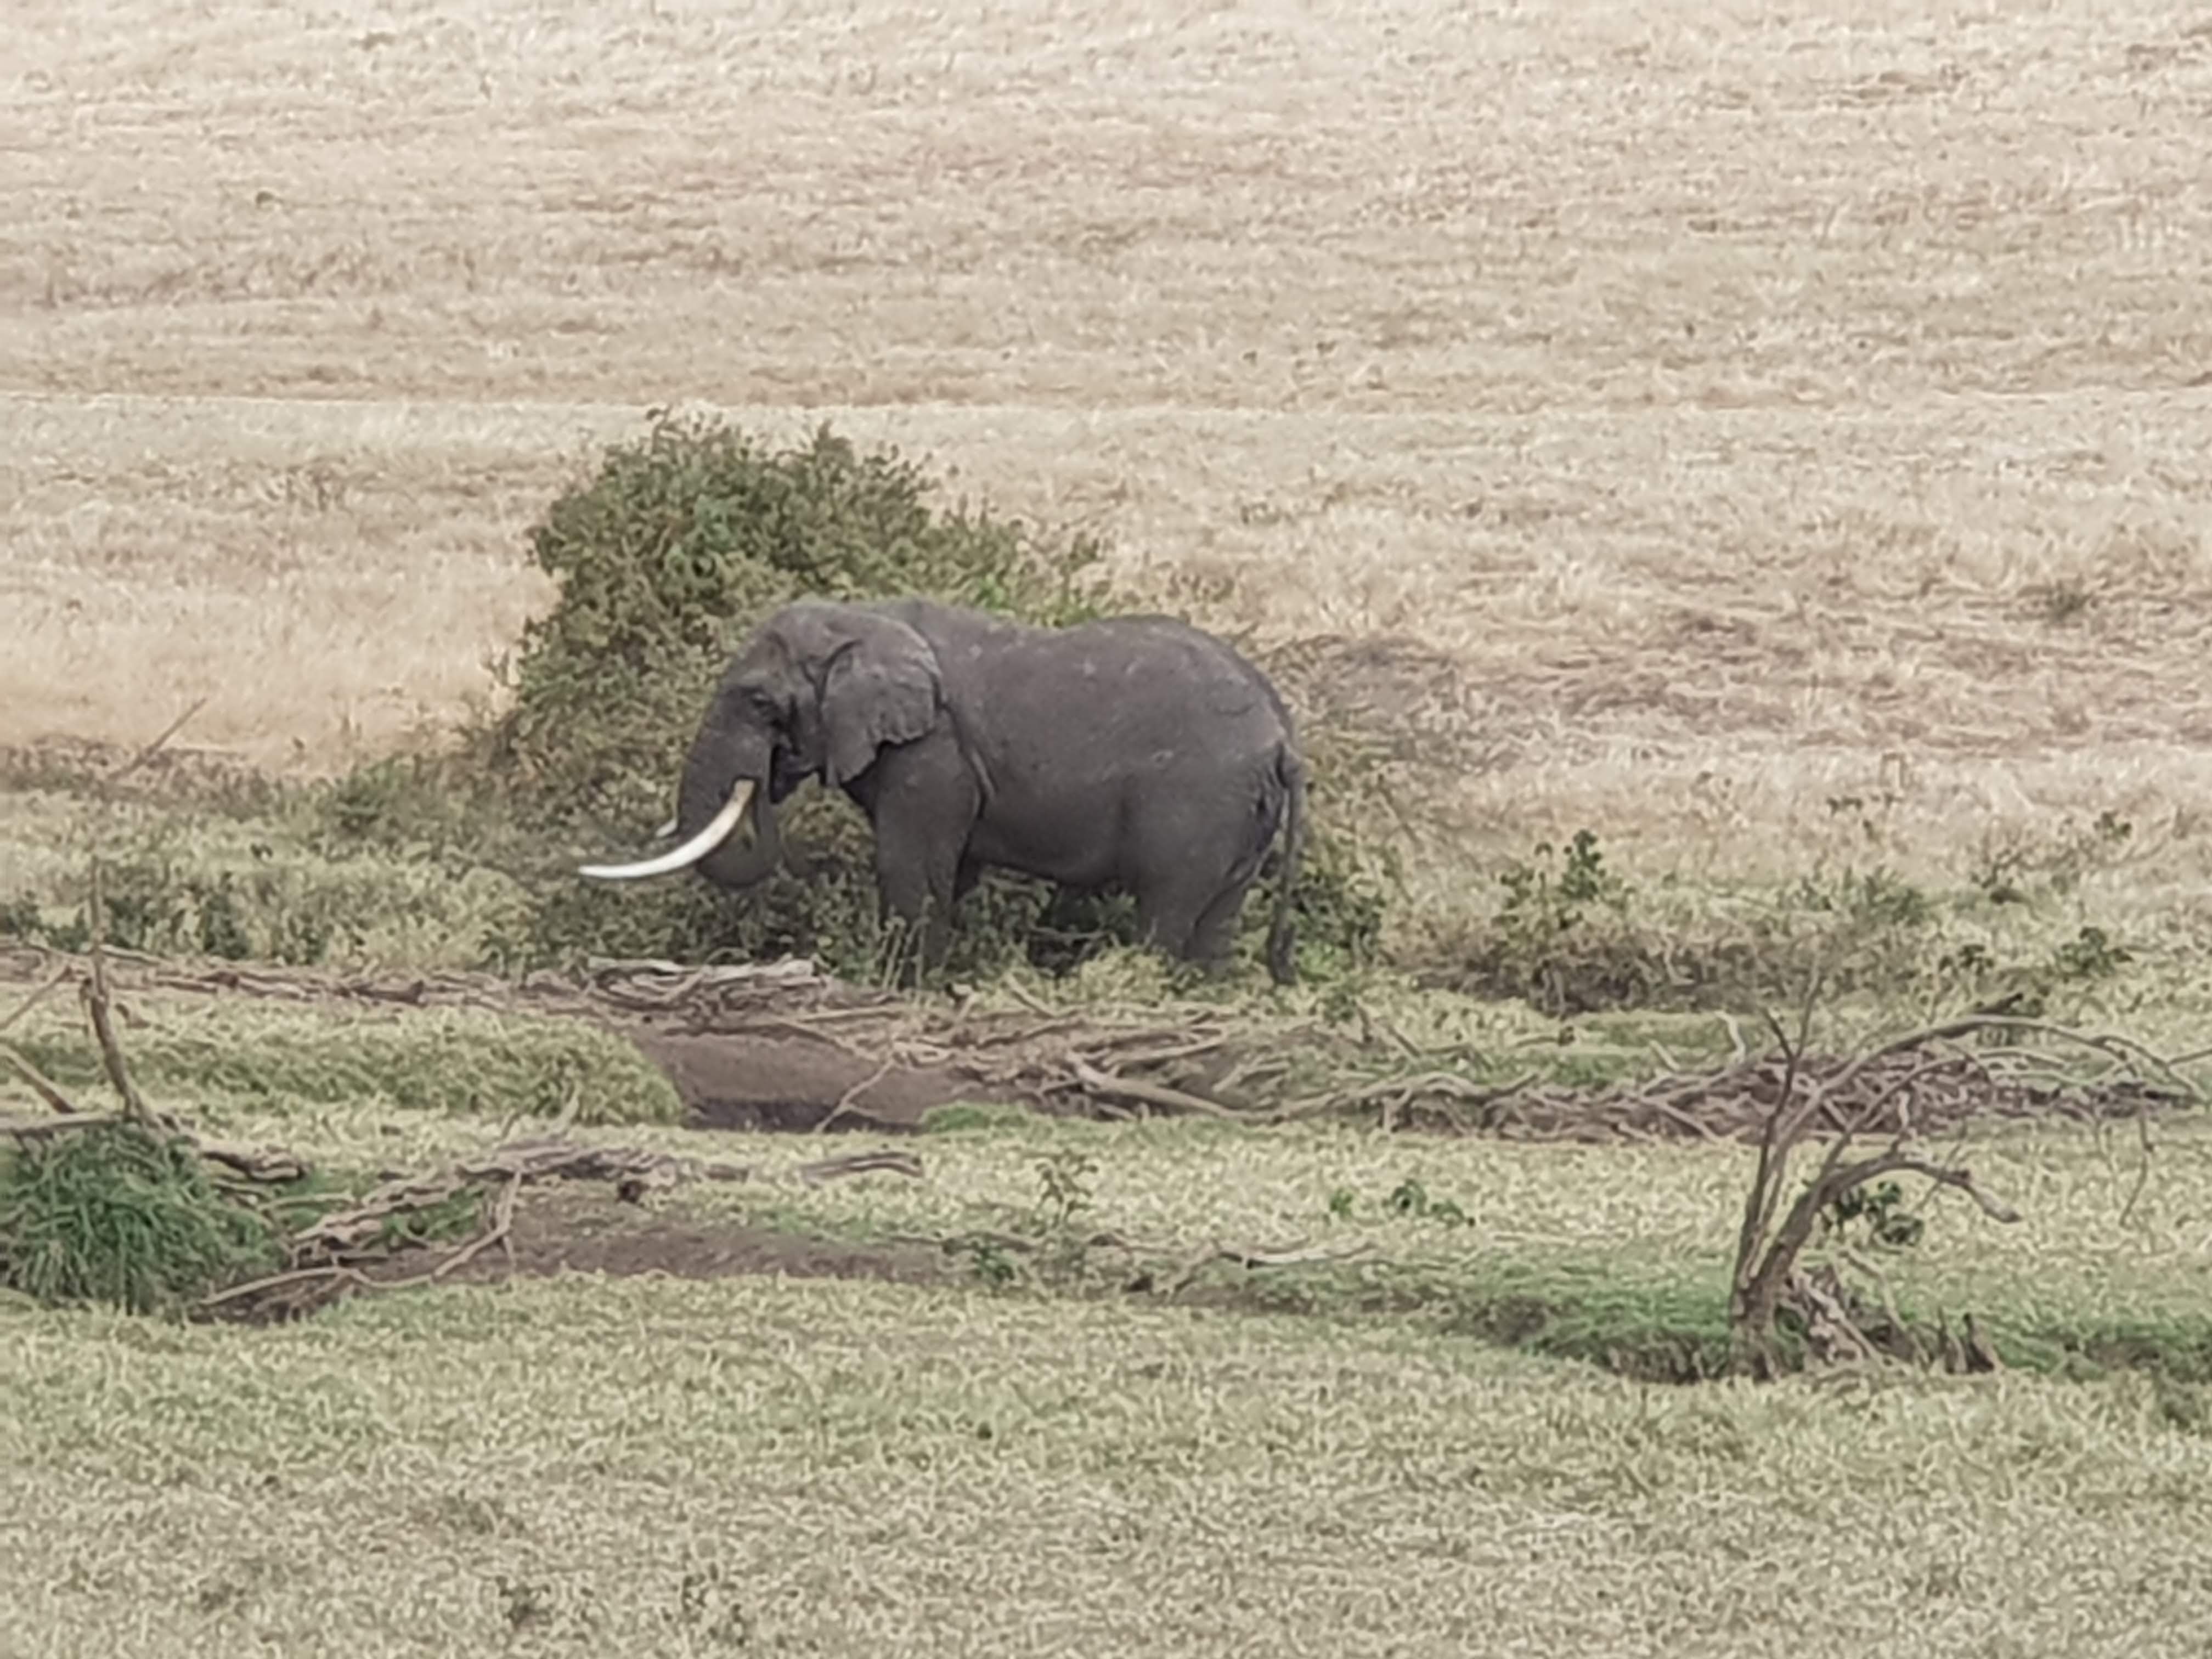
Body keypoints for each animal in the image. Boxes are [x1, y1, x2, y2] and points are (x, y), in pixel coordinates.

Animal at [577, 596, 1308, 983]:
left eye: (759, 703)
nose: (771, 774)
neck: (862, 622)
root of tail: (1283, 737)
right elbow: (951, 874)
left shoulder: (932, 754)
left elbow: (910, 866)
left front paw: (904, 991)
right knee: (1217, 919)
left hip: (1199, 803)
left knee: (1166, 909)